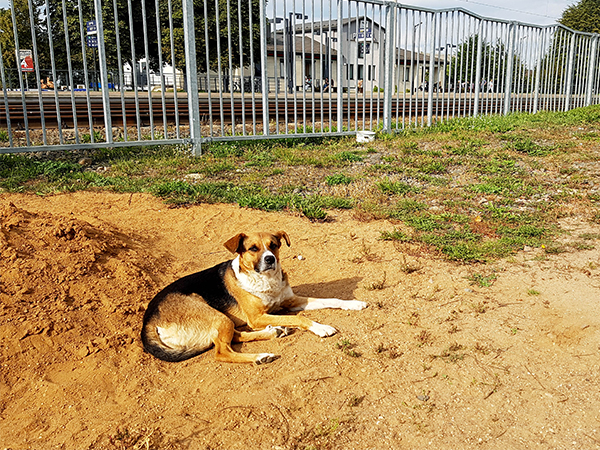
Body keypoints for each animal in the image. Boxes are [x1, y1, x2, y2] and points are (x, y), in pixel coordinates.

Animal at [142, 230, 366, 364]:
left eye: (274, 244)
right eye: (253, 249)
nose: (270, 259)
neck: (266, 280)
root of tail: (148, 322)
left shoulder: (291, 301)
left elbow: (331, 299)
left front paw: (354, 303)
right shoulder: (257, 317)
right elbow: (299, 318)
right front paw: (321, 328)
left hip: (224, 320)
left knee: (235, 336)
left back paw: (274, 332)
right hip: (213, 313)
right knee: (221, 351)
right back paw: (261, 355)